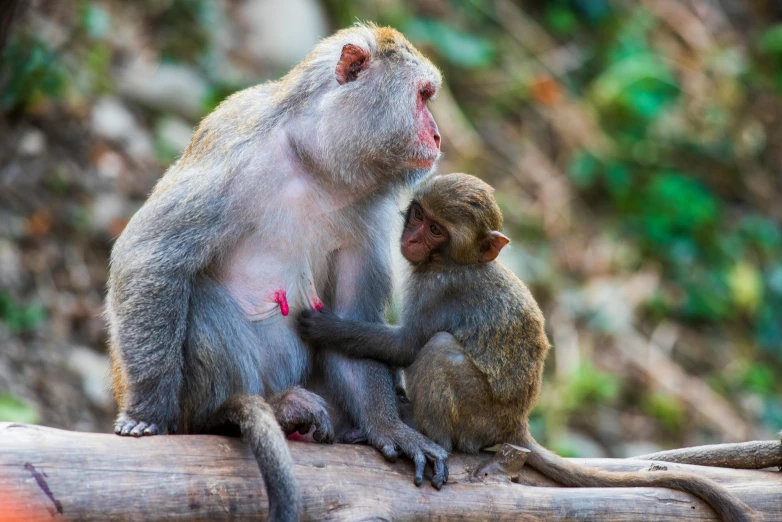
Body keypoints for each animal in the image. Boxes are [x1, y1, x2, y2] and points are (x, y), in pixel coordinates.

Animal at [106, 24, 448, 520]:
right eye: (423, 96)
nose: (438, 137)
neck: (316, 162)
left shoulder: (371, 214)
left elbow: (350, 323)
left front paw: (389, 427)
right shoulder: (236, 151)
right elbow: (151, 256)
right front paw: (148, 411)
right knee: (200, 297)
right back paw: (244, 413)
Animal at [300, 174, 752, 520]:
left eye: (436, 230)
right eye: (418, 215)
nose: (411, 237)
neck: (455, 261)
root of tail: (516, 423)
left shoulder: (439, 287)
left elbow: (408, 346)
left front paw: (325, 327)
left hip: (479, 418)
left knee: (441, 350)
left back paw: (428, 433)